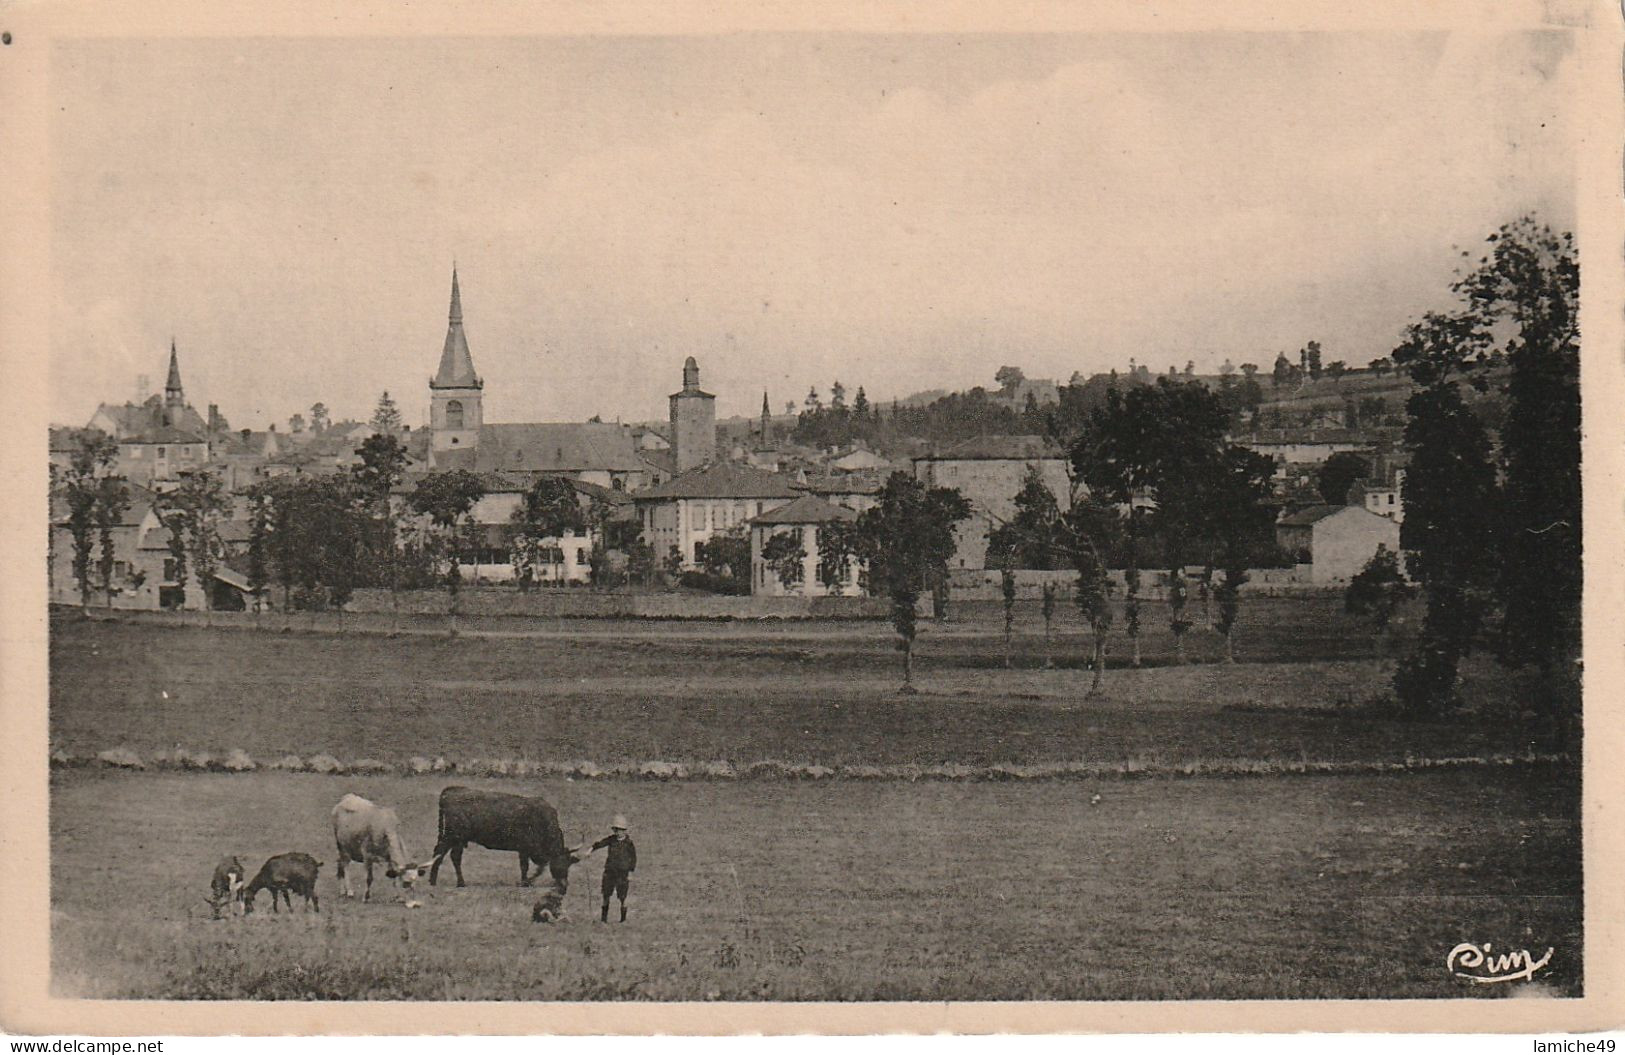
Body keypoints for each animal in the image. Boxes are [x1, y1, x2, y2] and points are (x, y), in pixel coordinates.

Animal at [429, 786, 588, 884]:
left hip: (455, 839)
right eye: (562, 862)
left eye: (569, 863)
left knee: (445, 855)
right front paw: (525, 882)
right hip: (454, 837)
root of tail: (452, 791)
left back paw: (437, 881)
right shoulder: (525, 848)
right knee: (448, 855)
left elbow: (536, 867)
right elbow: (527, 867)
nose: (564, 884)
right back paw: (454, 882)